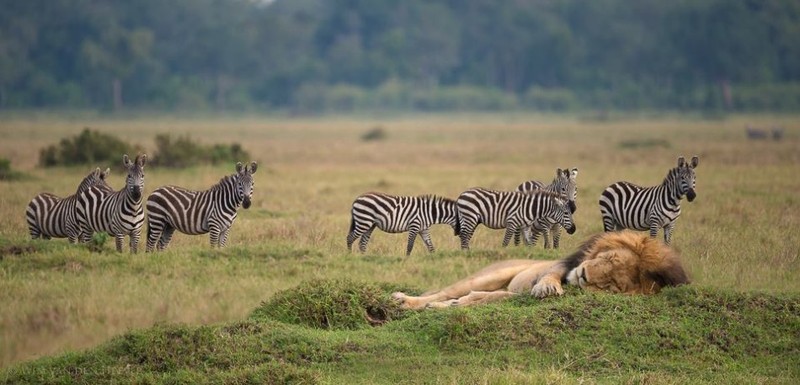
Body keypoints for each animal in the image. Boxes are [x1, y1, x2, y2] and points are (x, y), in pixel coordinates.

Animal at [394, 228, 688, 308]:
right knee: (444, 292)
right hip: (491, 274)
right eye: (611, 259)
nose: (584, 275)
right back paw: (405, 300)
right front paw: (548, 287)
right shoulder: (564, 265)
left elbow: (498, 297)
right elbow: (551, 275)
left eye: (613, 285)